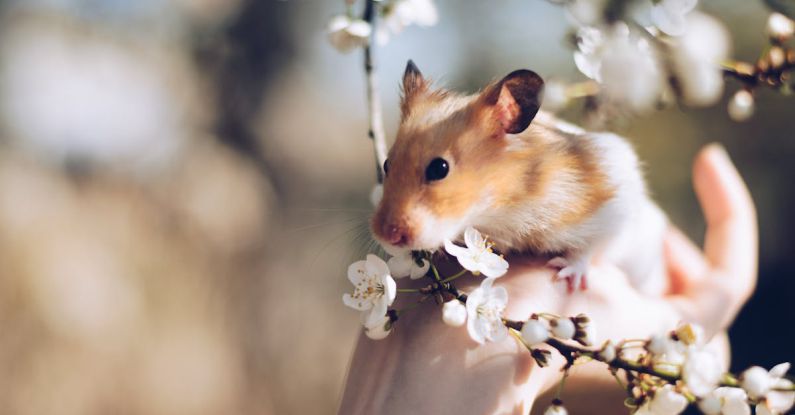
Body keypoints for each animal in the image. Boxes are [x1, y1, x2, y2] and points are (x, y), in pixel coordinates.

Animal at [372, 61, 664, 296]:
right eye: (386, 164)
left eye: (439, 168)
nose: (386, 236)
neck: (501, 206)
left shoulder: (614, 202)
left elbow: (592, 247)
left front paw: (565, 274)